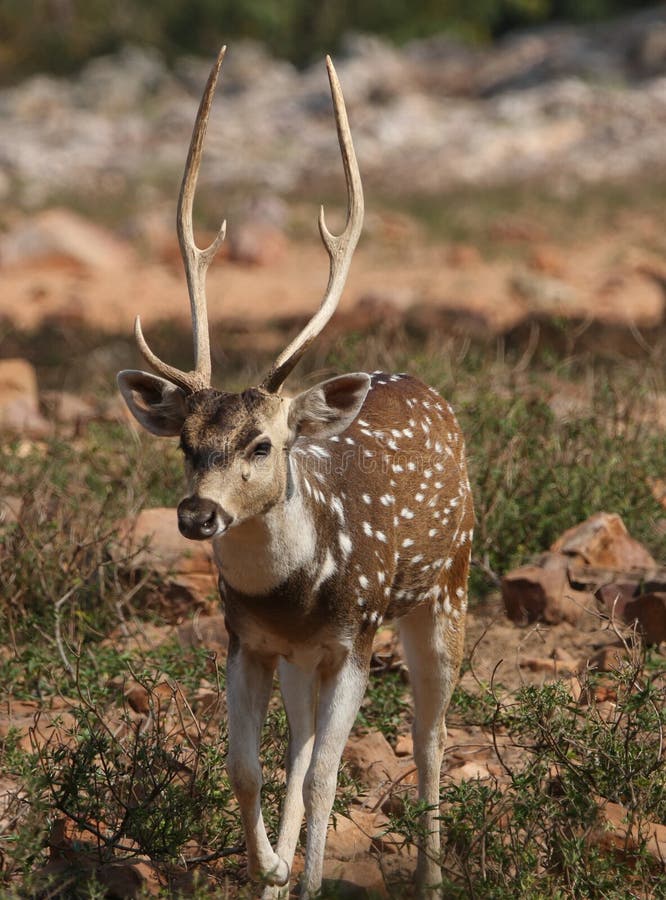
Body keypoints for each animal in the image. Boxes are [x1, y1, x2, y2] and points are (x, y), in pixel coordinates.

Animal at [117, 46, 473, 899]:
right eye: (186, 441)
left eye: (263, 444)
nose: (197, 515)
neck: (300, 586)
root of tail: (426, 388)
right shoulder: (249, 641)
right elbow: (250, 766)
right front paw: (270, 868)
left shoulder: (354, 634)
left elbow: (327, 775)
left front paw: (306, 878)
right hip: (305, 655)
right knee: (303, 741)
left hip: (448, 585)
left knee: (431, 733)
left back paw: (428, 877)